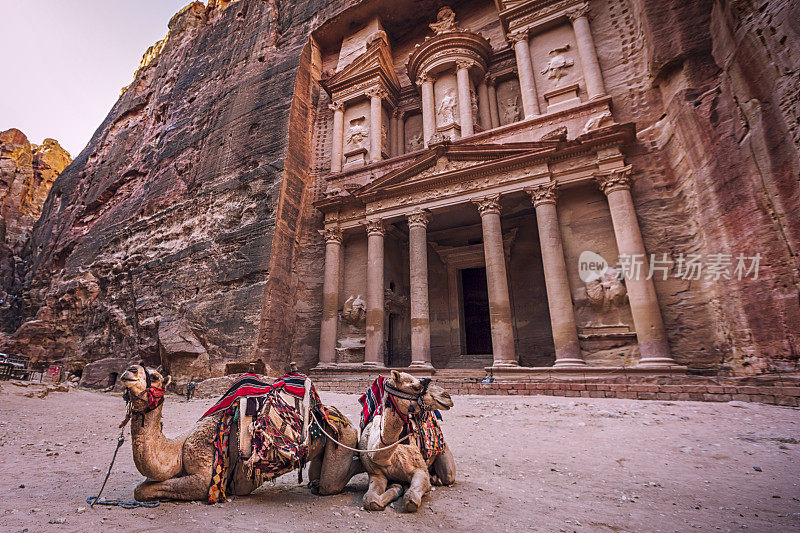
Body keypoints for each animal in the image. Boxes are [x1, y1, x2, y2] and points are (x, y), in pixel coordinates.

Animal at [119, 364, 362, 500]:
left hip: (346, 434)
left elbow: (143, 491)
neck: (177, 448)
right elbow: (140, 489)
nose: (129, 370)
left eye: (155, 376)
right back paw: (316, 482)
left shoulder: (204, 477)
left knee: (331, 484)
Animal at [358, 370, 454, 512]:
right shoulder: (376, 474)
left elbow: (411, 500)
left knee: (448, 476)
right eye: (416, 387)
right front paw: (396, 488)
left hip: (445, 452)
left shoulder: (420, 471)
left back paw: (436, 479)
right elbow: (369, 499)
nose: (447, 396)